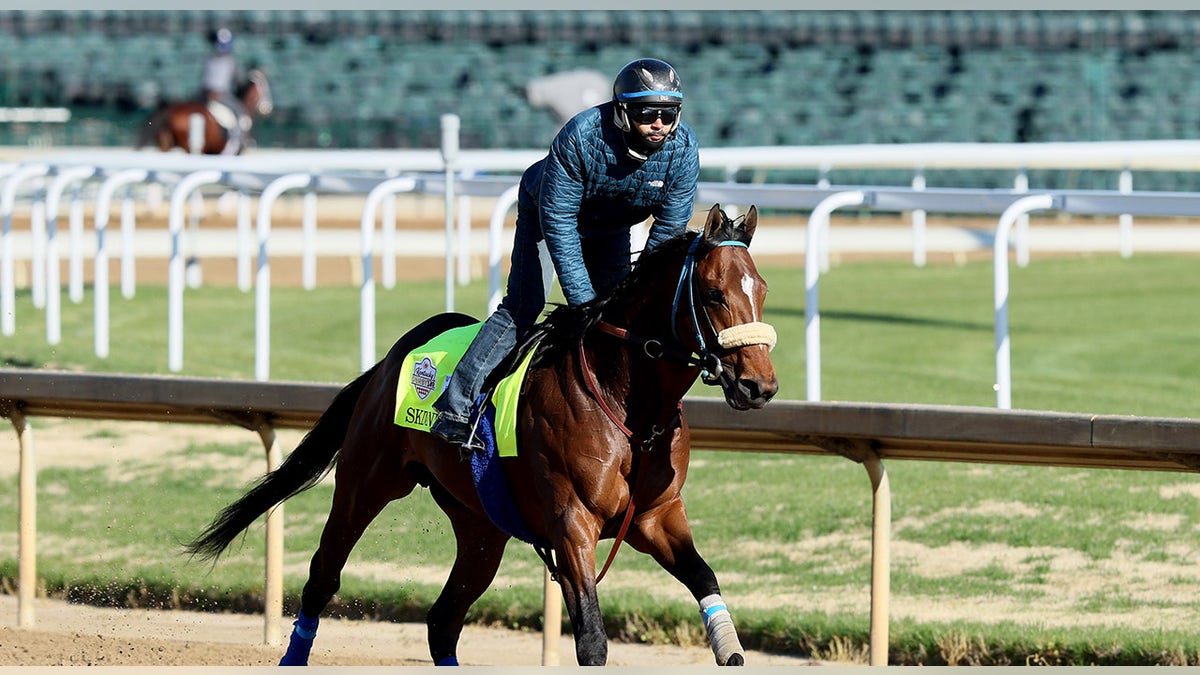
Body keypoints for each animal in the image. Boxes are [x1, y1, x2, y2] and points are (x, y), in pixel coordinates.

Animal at [178, 204, 777, 662]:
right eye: (713, 292)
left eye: (764, 290)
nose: (760, 385)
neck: (629, 407)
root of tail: (389, 360)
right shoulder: (572, 525)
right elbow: (592, 640)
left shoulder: (657, 517)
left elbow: (706, 581)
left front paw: (729, 647)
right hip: (365, 483)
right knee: (324, 577)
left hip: (480, 524)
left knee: (443, 619)